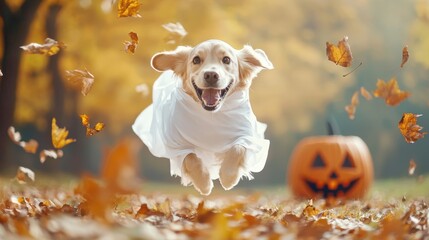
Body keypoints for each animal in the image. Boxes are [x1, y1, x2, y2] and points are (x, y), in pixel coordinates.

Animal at [134, 39, 272, 195]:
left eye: (226, 59)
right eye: (196, 60)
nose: (211, 75)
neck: (211, 115)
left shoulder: (248, 137)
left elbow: (237, 148)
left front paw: (228, 177)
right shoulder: (177, 146)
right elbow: (191, 158)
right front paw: (204, 183)